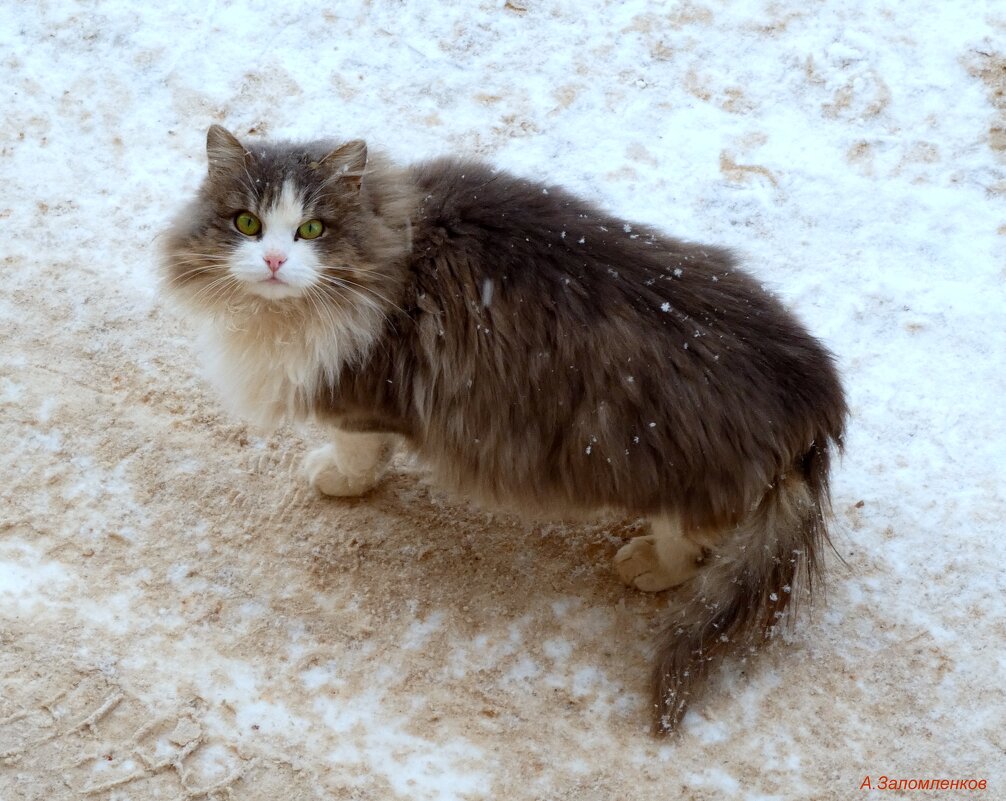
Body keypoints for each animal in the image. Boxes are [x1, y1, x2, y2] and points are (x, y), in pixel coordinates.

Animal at [162, 125, 849, 732]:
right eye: (246, 223)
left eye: (312, 229)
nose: (275, 259)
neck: (391, 248)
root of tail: (816, 394)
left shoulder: (358, 396)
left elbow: (355, 451)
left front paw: (336, 478)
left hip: (666, 469)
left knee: (692, 543)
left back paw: (646, 564)